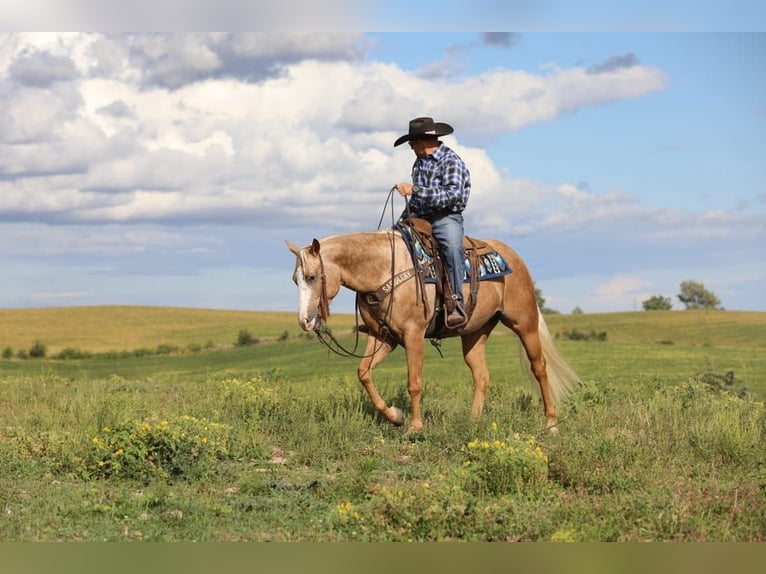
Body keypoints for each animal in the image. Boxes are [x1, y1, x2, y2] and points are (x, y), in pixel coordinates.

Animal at [288, 227, 584, 434]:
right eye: (295, 279)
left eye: (312, 277)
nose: (304, 321)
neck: (384, 269)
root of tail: (514, 258)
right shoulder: (383, 337)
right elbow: (364, 374)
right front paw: (395, 417)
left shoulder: (413, 335)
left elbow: (414, 383)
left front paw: (415, 427)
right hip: (474, 333)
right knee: (481, 375)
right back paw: (472, 421)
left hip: (524, 323)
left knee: (539, 368)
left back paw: (551, 424)